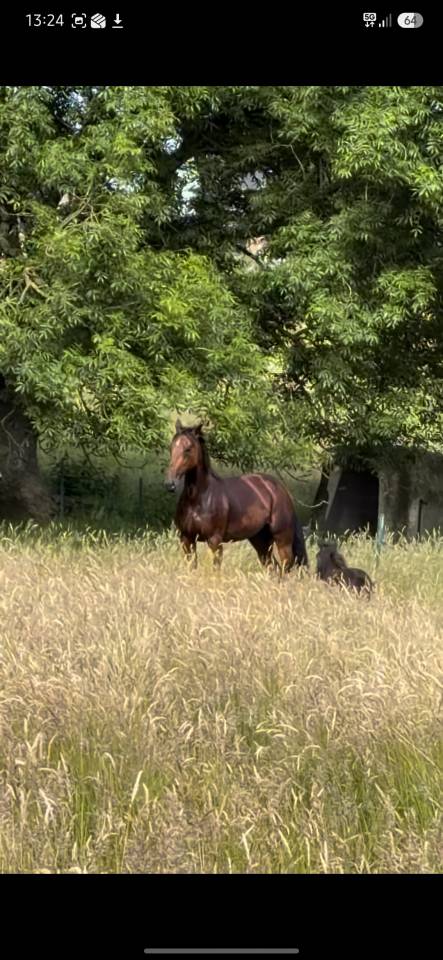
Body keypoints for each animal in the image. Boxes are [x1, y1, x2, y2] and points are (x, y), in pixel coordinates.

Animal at [165, 420, 308, 573]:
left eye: (188, 449)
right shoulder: (187, 539)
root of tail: (281, 490)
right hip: (260, 540)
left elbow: (214, 570)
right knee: (272, 567)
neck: (199, 498)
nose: (169, 484)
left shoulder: (214, 540)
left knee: (286, 567)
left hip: (282, 540)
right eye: (171, 448)